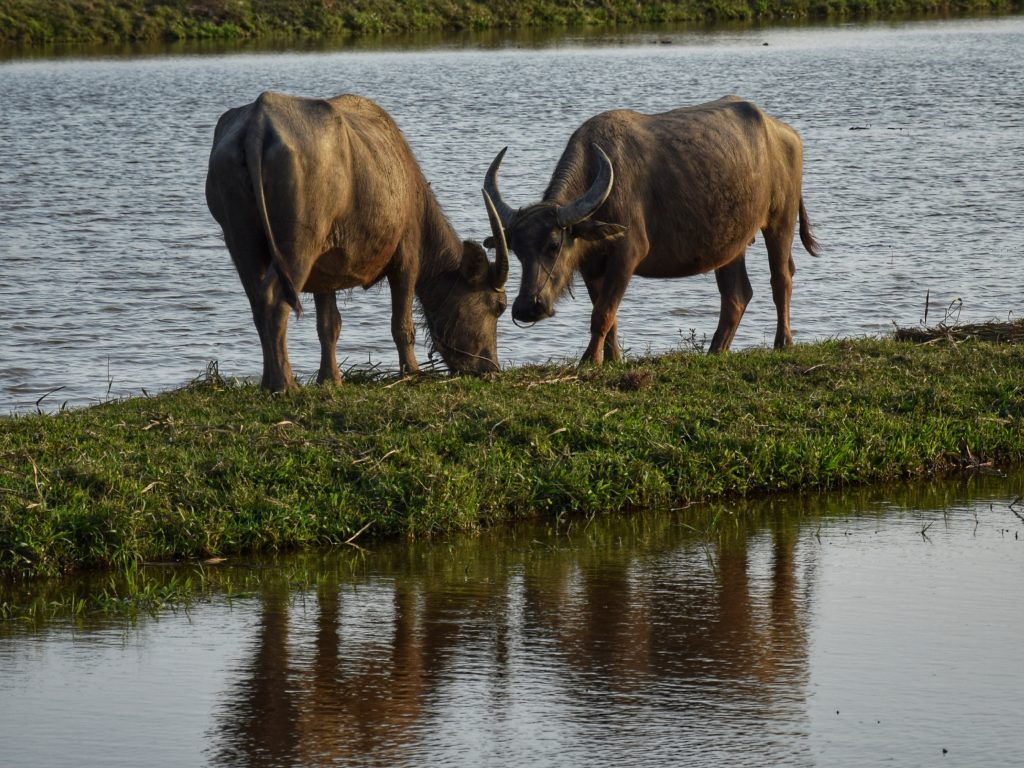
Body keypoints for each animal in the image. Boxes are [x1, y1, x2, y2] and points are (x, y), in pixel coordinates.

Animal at [205, 90, 509, 391]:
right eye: (499, 306)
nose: (490, 368)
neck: (411, 190)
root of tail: (258, 123)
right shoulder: (407, 257)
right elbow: (401, 324)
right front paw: (412, 372)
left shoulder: (323, 271)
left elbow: (329, 325)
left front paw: (330, 378)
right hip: (297, 244)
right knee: (274, 301)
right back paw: (285, 384)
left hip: (241, 239)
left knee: (257, 302)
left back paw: (267, 382)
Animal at [483, 94, 819, 364]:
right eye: (518, 251)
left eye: (553, 244)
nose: (527, 308)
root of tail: (784, 132)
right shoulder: (592, 267)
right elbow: (609, 316)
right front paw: (611, 359)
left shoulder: (627, 255)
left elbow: (602, 313)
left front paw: (588, 360)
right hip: (731, 243)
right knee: (736, 295)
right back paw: (716, 350)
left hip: (780, 221)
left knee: (781, 279)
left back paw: (783, 341)